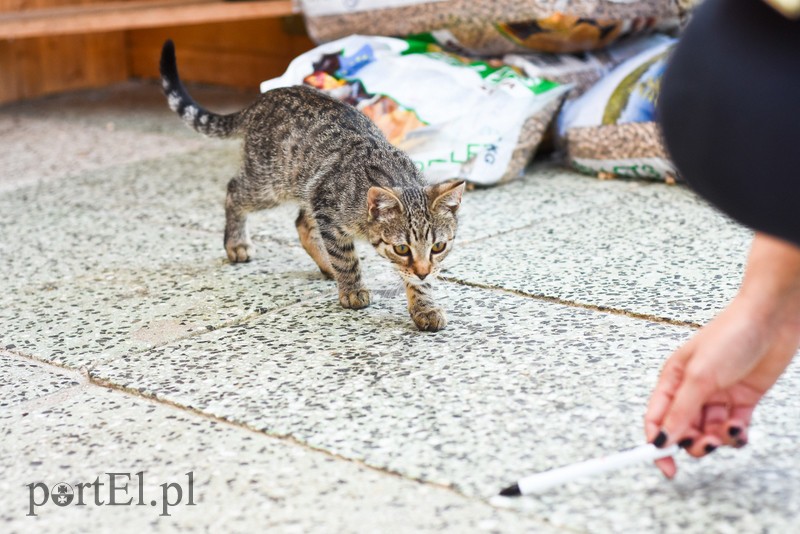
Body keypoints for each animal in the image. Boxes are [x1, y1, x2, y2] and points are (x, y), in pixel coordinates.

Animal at [159, 40, 466, 330]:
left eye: (438, 247)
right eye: (402, 249)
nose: (423, 270)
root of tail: (261, 100)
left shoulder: (321, 202)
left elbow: (413, 281)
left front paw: (424, 305)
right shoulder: (328, 211)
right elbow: (346, 257)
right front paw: (352, 289)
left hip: (307, 187)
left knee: (301, 223)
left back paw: (326, 265)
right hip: (270, 184)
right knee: (234, 190)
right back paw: (237, 243)